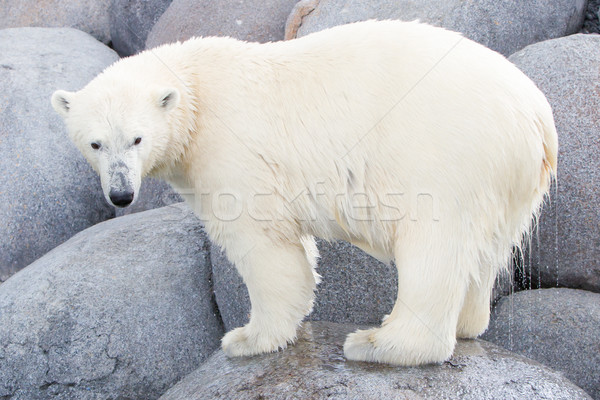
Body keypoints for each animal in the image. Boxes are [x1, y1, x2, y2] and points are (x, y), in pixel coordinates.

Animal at [51, 21, 556, 366]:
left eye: (137, 139)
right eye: (95, 143)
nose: (120, 195)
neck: (197, 90)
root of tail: (536, 118)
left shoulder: (231, 152)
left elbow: (265, 246)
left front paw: (247, 338)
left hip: (446, 157)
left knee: (434, 245)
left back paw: (378, 343)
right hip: (504, 185)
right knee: (482, 253)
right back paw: (467, 323)